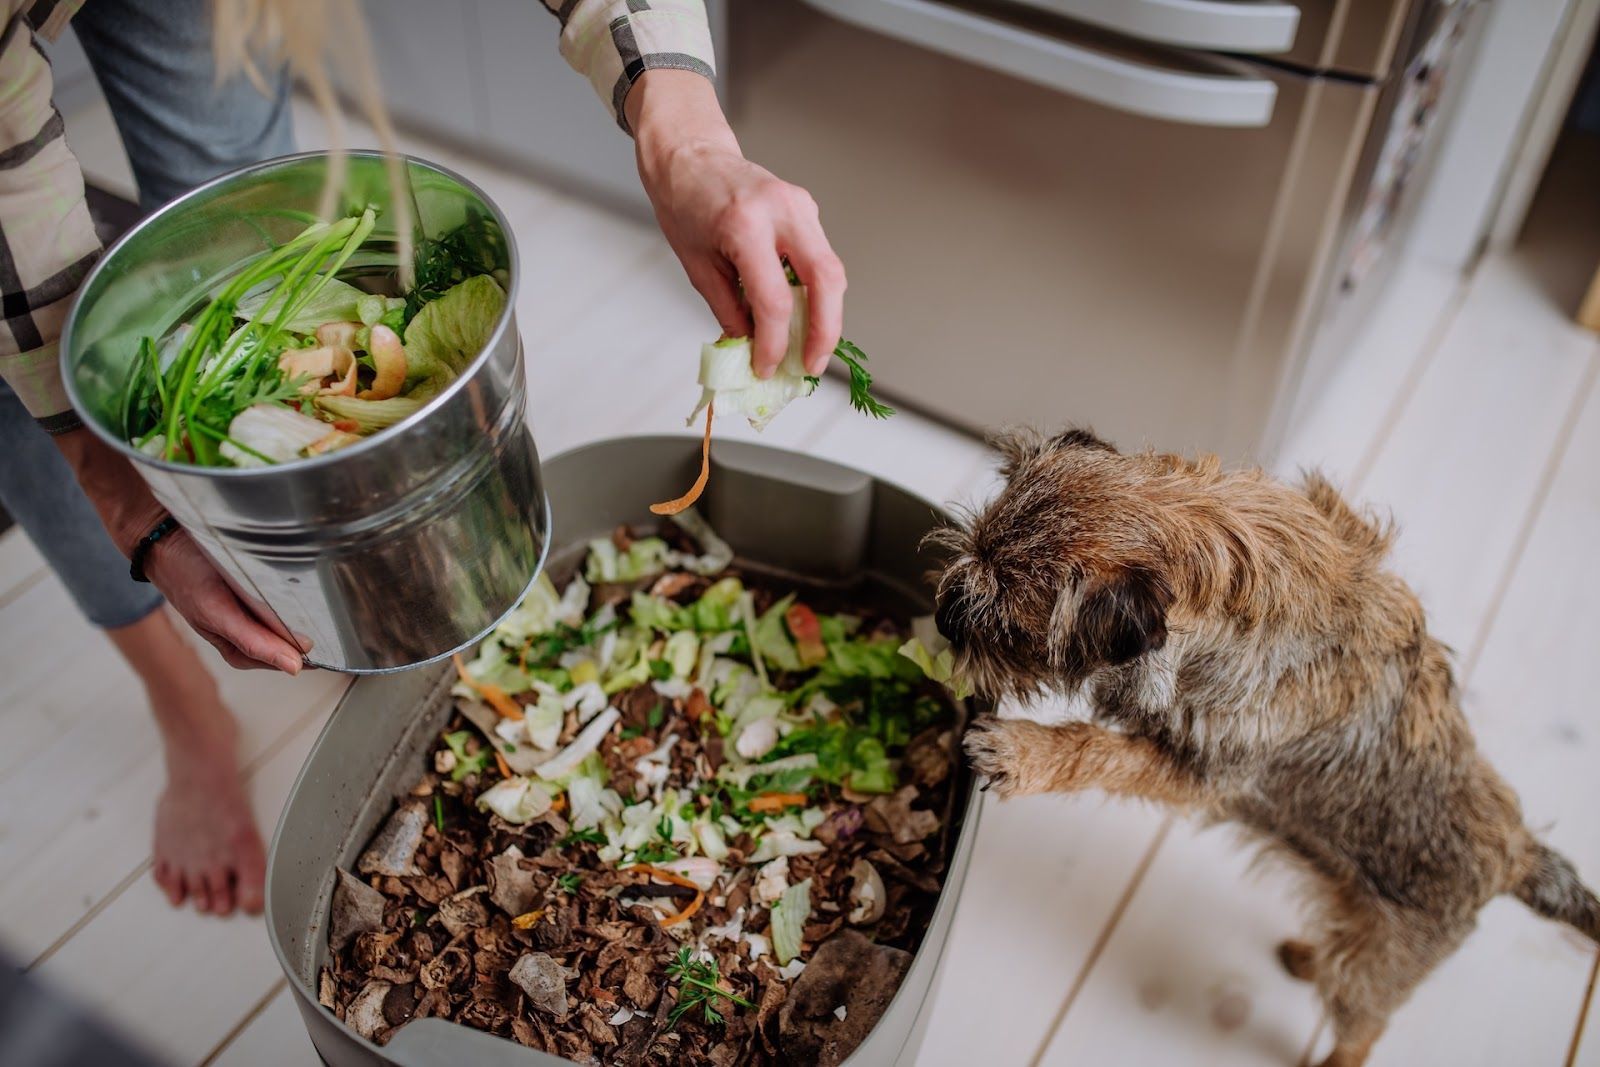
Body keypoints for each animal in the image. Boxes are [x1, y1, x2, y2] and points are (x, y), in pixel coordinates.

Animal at [934, 428, 1593, 1067]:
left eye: (1008, 630)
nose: (944, 615)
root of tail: (1519, 854)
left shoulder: (1200, 775)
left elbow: (1099, 749)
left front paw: (1023, 752)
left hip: (1374, 969)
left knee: (1362, 1033)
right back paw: (1309, 954)